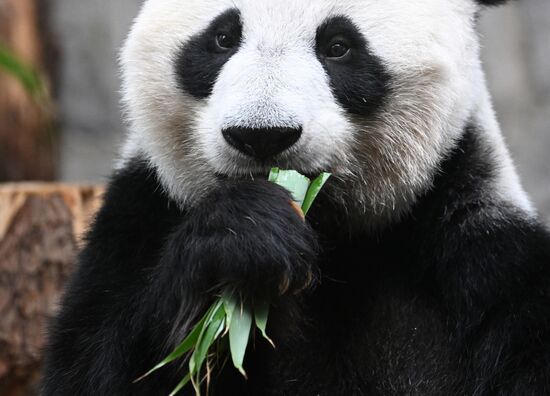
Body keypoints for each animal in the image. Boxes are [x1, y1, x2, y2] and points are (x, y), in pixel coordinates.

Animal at [42, 0, 550, 394]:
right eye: (223, 37)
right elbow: (97, 367)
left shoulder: (484, 261)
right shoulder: (138, 220)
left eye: (338, 46)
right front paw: (246, 238)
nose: (261, 135)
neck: (329, 237)